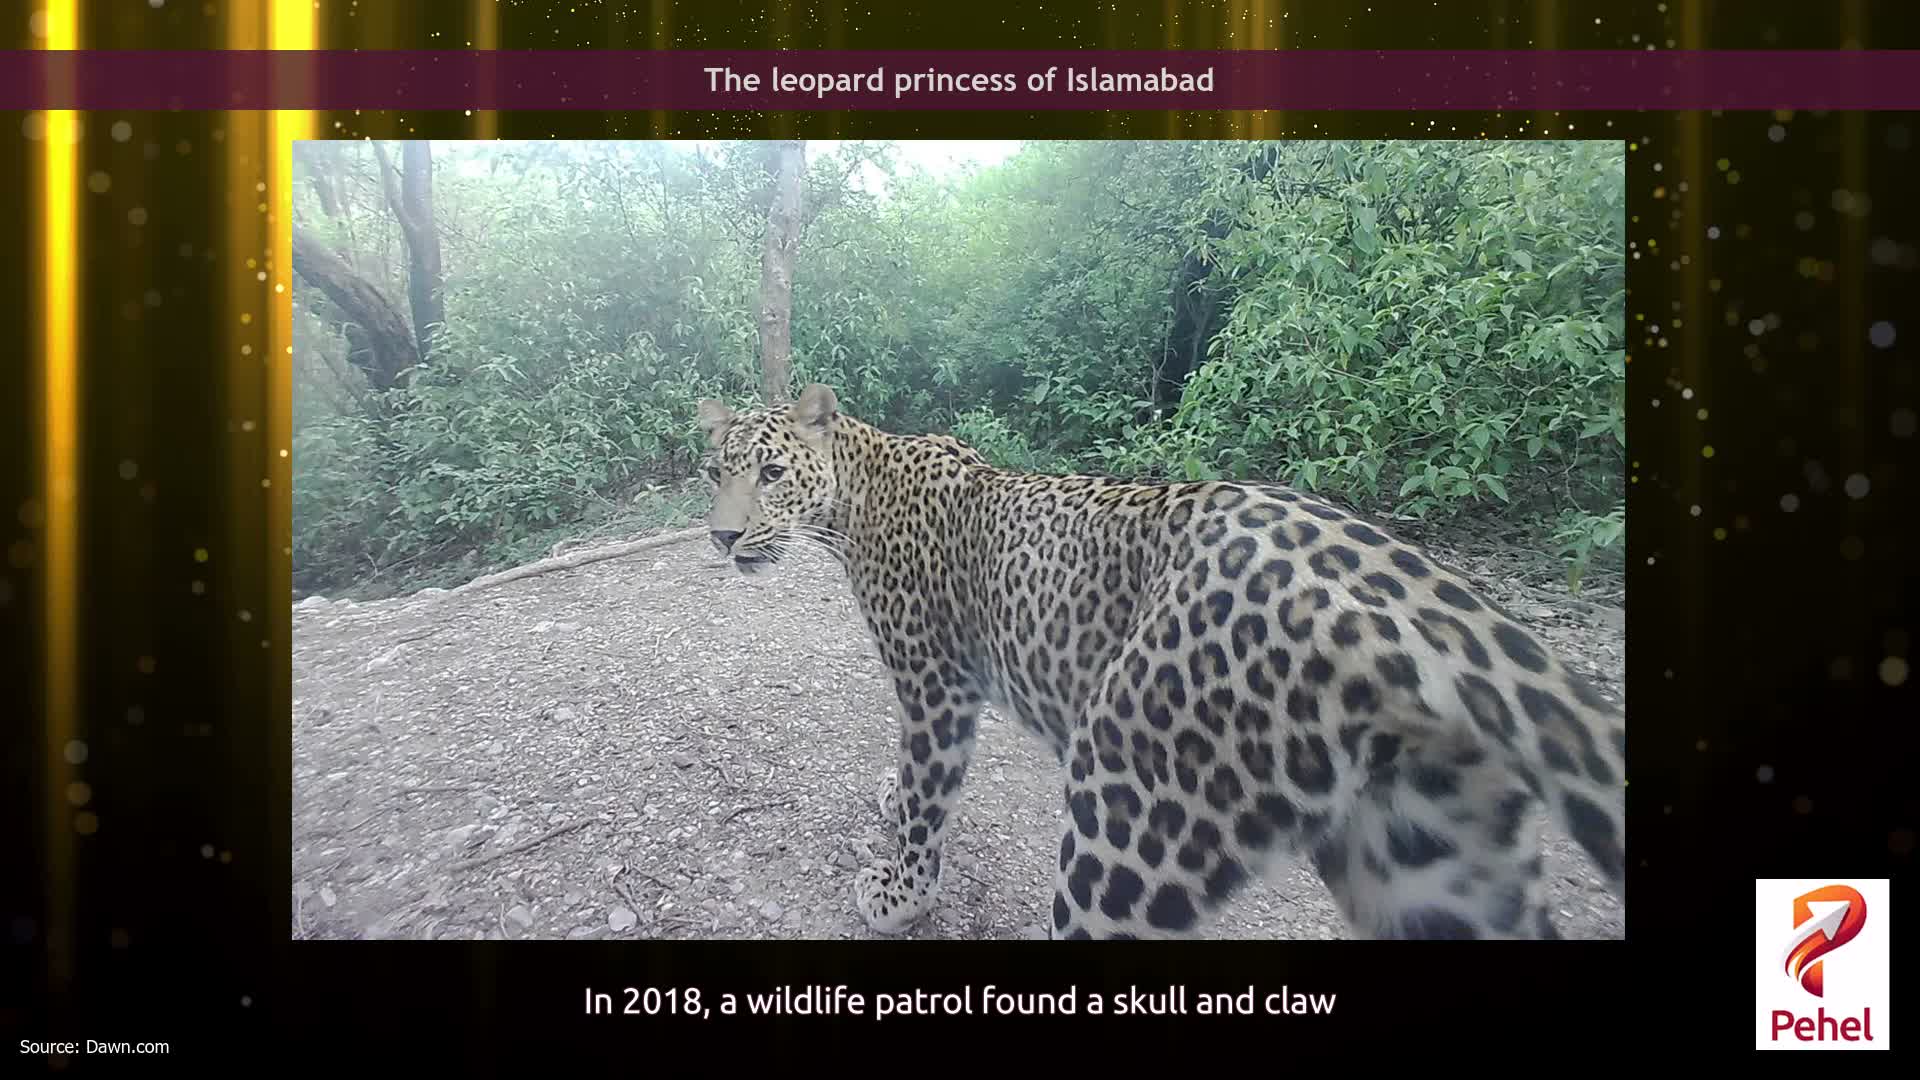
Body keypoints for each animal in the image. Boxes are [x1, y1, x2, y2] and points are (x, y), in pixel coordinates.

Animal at [695, 383, 1625, 940]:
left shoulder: (935, 687)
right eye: (715, 472)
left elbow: (929, 795)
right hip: (1427, 859)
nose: (722, 537)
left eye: (771, 472)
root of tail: (1419, 588)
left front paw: (899, 893)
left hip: (1132, 808)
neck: (850, 498)